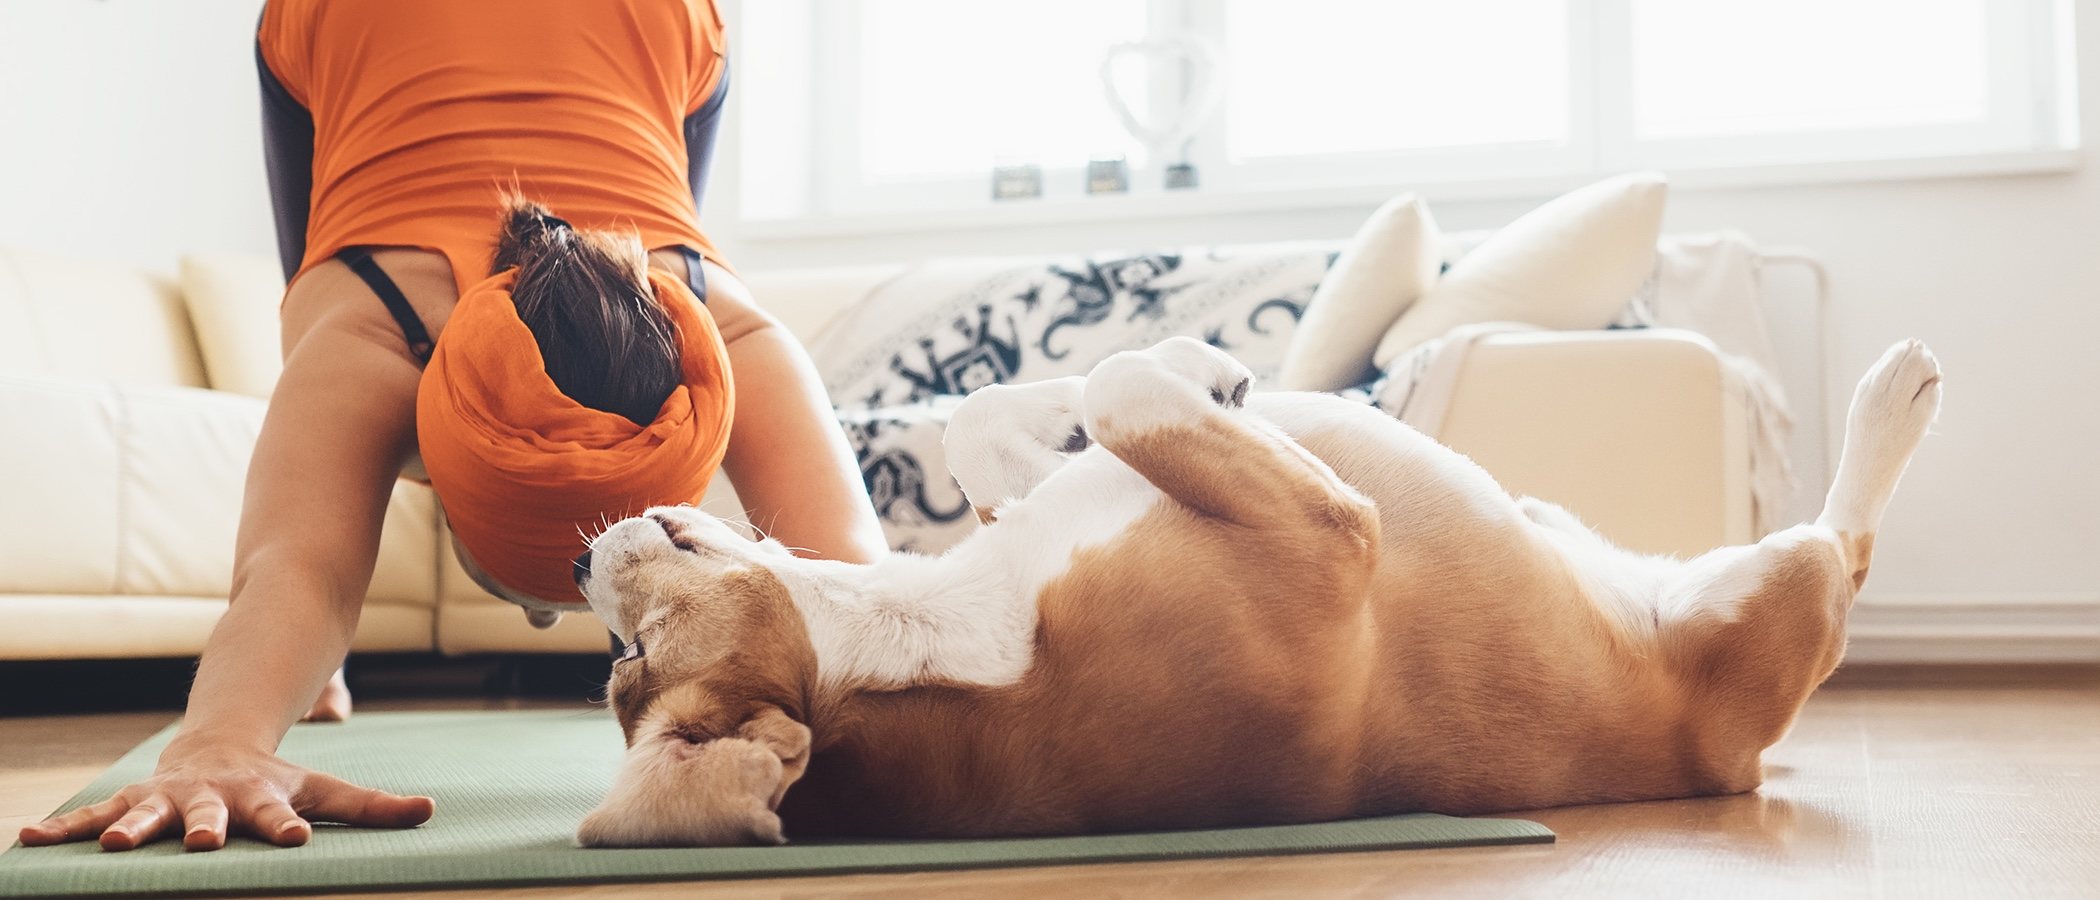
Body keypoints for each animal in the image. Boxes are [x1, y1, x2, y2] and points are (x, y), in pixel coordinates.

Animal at [571, 335, 1931, 843]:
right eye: (628, 663)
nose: (578, 564)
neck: (942, 636)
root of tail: (1736, 765)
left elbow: (989, 420)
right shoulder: (1333, 538)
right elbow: (1120, 385)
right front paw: (1197, 357)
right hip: (1782, 591)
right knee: (1846, 548)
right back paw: (1892, 400)